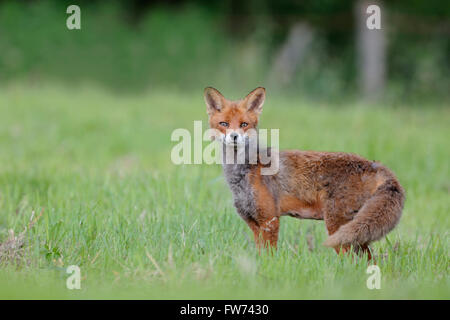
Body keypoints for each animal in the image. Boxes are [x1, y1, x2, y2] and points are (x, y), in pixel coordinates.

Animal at [204, 86, 404, 258]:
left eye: (244, 124)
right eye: (224, 123)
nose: (234, 136)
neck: (243, 173)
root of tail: (374, 164)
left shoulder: (270, 220)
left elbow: (269, 257)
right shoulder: (254, 223)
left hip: (337, 229)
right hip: (357, 232)